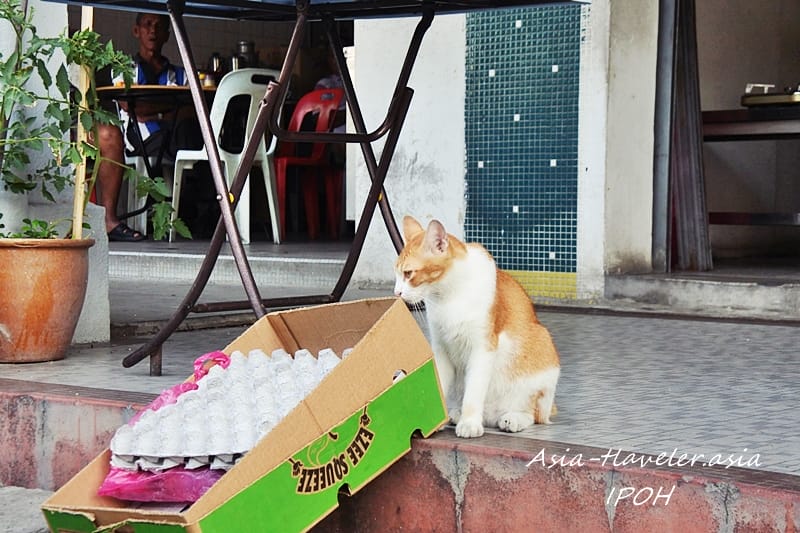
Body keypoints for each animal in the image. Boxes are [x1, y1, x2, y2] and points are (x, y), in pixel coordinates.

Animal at [394, 216, 560, 438]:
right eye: (396, 274)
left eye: (408, 273)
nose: (397, 292)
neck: (449, 295)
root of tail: (491, 416)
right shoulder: (441, 348)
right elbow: (438, 383)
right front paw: (435, 418)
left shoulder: (483, 348)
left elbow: (473, 392)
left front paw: (470, 422)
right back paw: (455, 414)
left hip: (542, 348)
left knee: (534, 414)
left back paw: (512, 418)